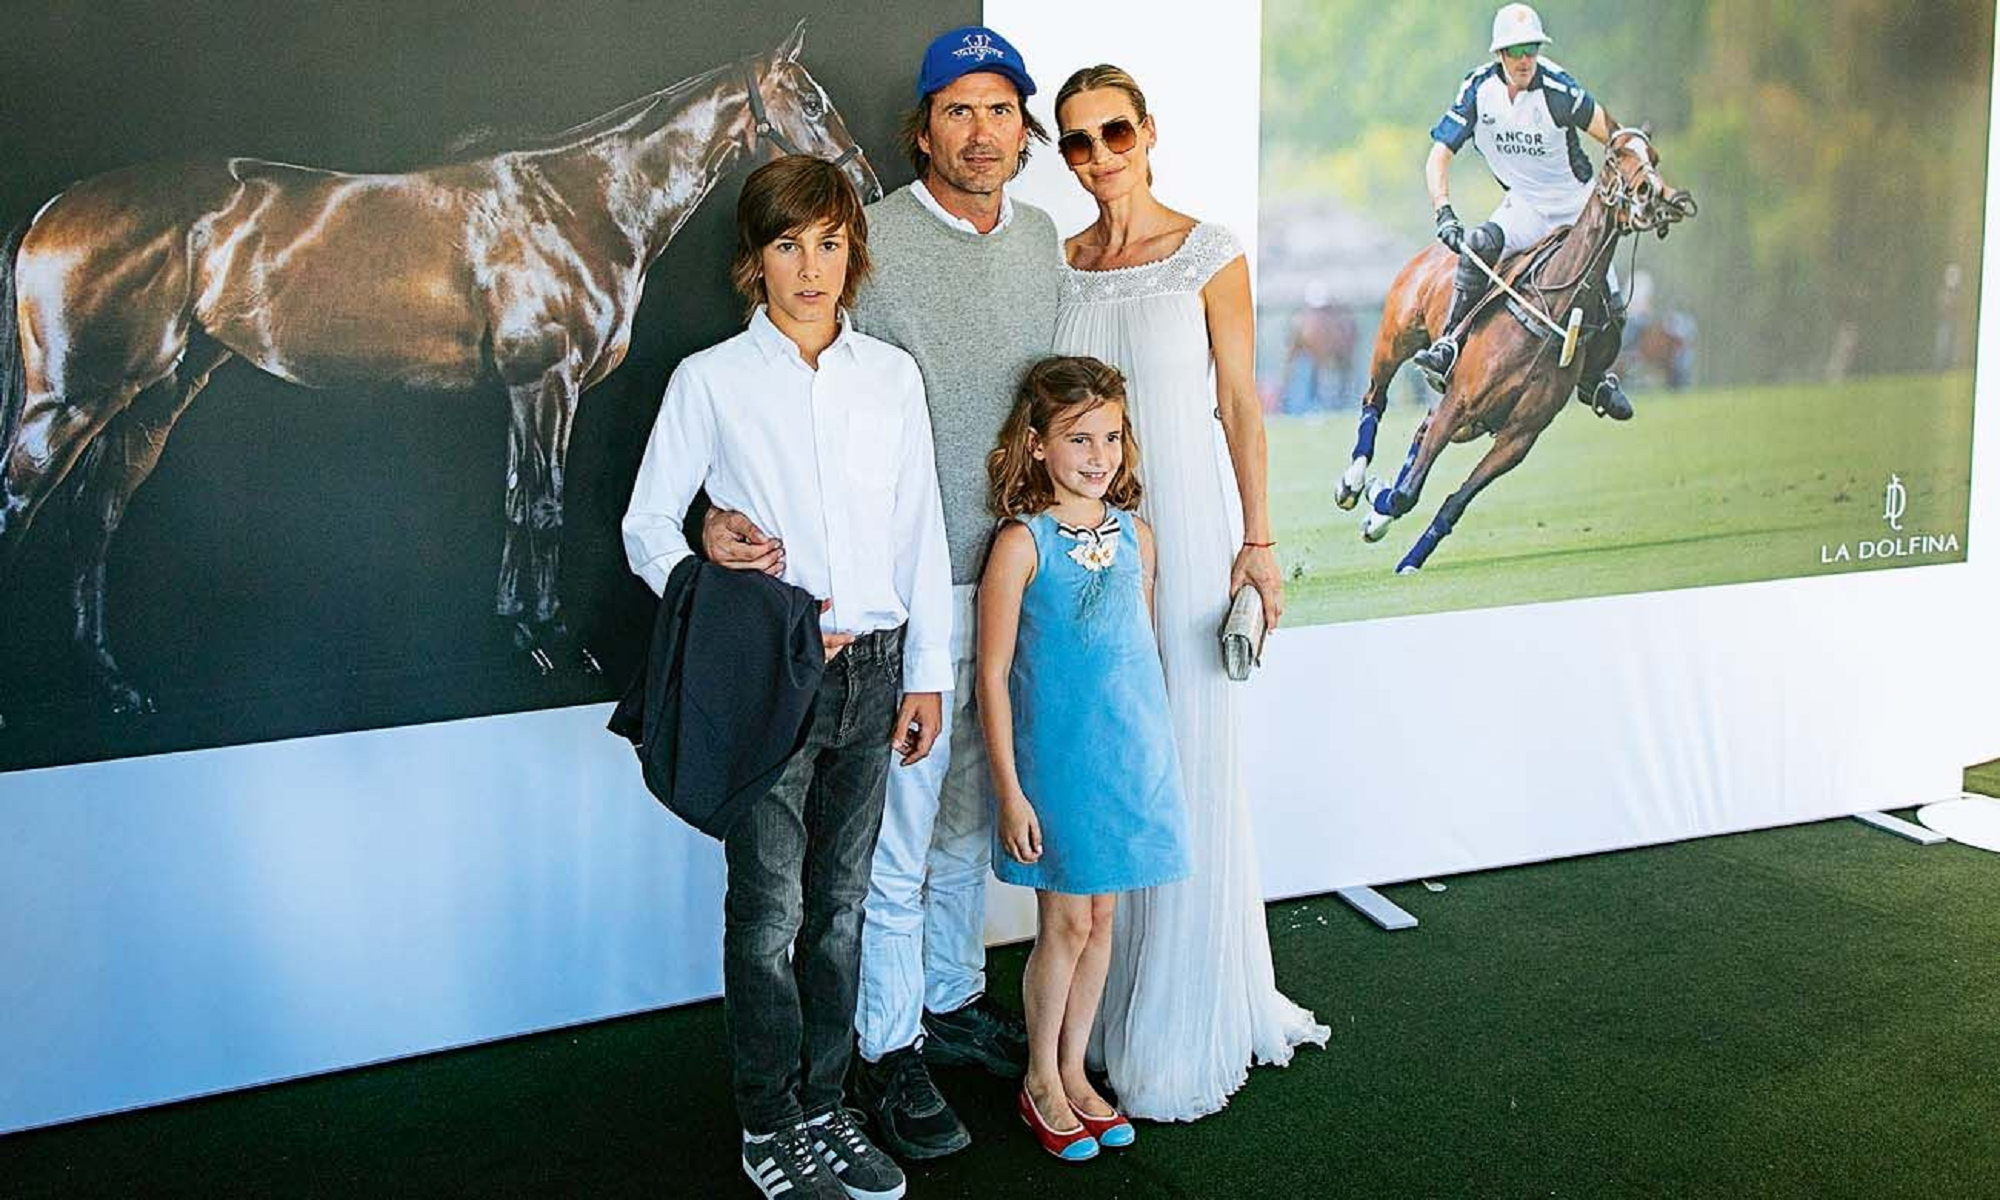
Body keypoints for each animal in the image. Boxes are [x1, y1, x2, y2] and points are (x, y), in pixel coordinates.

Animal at [0, 21, 876, 712]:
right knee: (22, 503)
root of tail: (53, 208)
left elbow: (518, 500)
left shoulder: (526, 393)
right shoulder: (545, 383)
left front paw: (520, 630)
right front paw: (552, 639)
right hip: (73, 399)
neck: (580, 202)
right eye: (808, 100)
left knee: (95, 516)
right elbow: (545, 509)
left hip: (156, 394)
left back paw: (114, 682)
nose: (862, 185)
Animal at [1328, 131, 1688, 576]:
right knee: (1375, 398)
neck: (1553, 308)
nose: (1650, 197)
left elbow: (1455, 500)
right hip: (1395, 339)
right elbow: (1408, 493)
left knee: (1421, 427)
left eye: (1652, 157)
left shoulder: (1519, 437)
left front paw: (1404, 546)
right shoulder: (1460, 403)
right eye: (1613, 159)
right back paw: (1353, 482)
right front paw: (1378, 498)